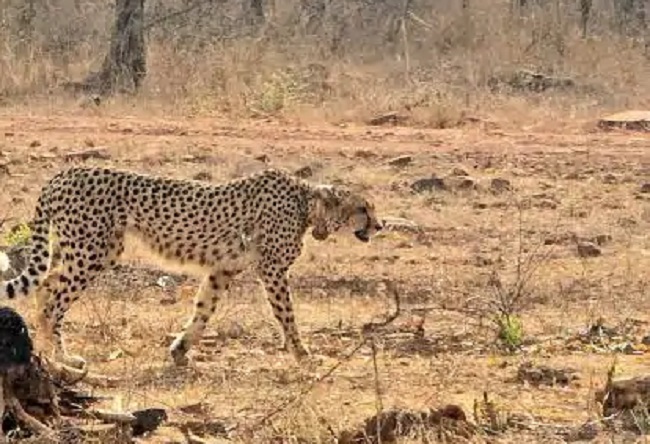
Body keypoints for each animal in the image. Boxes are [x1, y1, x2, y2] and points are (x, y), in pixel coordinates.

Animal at [0, 167, 383, 369]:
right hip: (92, 251)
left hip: (84, 250)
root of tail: (62, 174)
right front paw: (304, 355)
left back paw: (49, 351)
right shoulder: (272, 269)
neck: (307, 204)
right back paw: (59, 358)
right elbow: (287, 316)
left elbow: (203, 310)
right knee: (52, 299)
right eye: (363, 208)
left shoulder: (222, 270)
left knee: (46, 285)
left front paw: (181, 350)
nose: (380, 226)